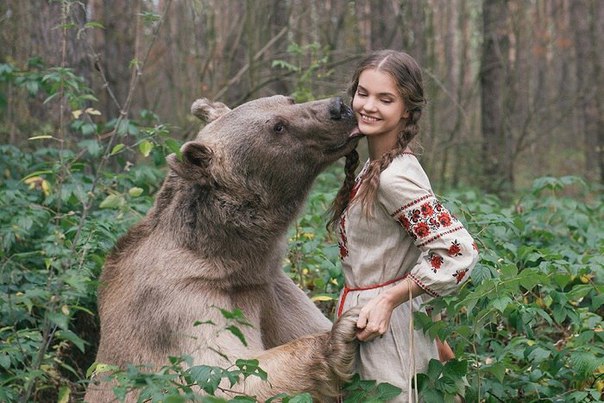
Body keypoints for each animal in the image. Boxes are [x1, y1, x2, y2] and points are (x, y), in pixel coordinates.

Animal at [85, 94, 364, 400]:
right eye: (277, 127)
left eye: (288, 100)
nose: (338, 107)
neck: (231, 256)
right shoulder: (179, 306)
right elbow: (225, 375)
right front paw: (342, 333)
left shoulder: (269, 288)